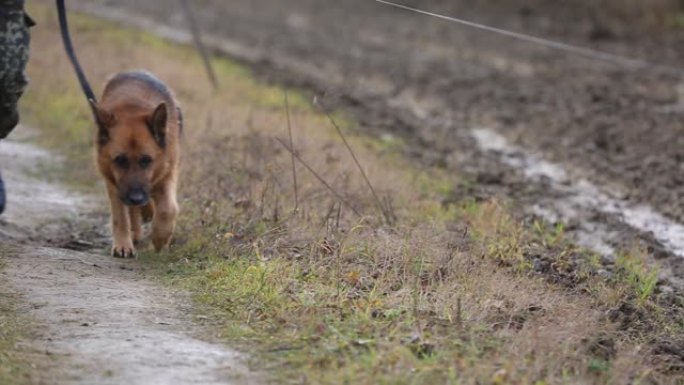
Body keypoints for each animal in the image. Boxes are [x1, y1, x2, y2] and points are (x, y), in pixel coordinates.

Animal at [90, 72, 182, 258]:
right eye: (120, 160)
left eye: (146, 160)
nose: (136, 197)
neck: (133, 108)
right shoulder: (115, 185)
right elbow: (120, 217)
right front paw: (123, 244)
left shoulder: (168, 173)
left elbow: (168, 208)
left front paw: (160, 237)